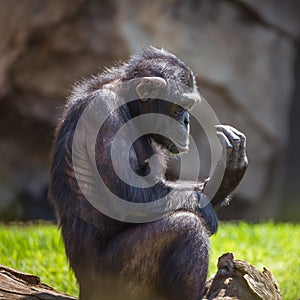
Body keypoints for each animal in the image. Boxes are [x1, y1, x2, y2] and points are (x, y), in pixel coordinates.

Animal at [48, 47, 247, 300]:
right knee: (186, 227)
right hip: (114, 283)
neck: (128, 106)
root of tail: (84, 288)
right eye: (178, 106)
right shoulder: (102, 113)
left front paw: (229, 169)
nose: (186, 121)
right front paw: (207, 208)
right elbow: (130, 196)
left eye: (189, 106)